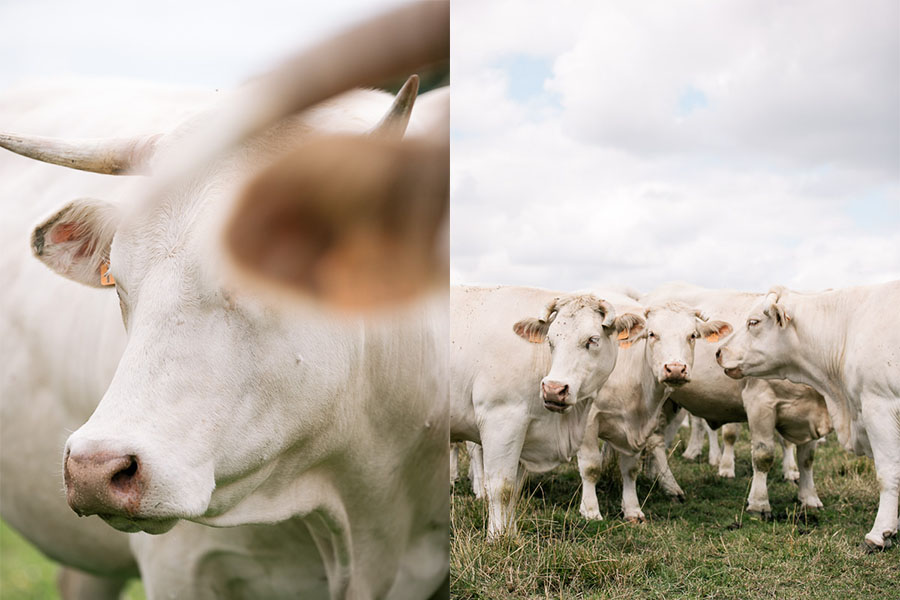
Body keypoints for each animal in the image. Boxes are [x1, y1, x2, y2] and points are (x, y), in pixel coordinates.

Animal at [450, 284, 648, 536]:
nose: (554, 389)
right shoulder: (500, 421)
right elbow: (501, 487)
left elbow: (515, 490)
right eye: (550, 340)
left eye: (592, 340)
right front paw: (497, 538)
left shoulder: (523, 435)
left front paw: (511, 534)